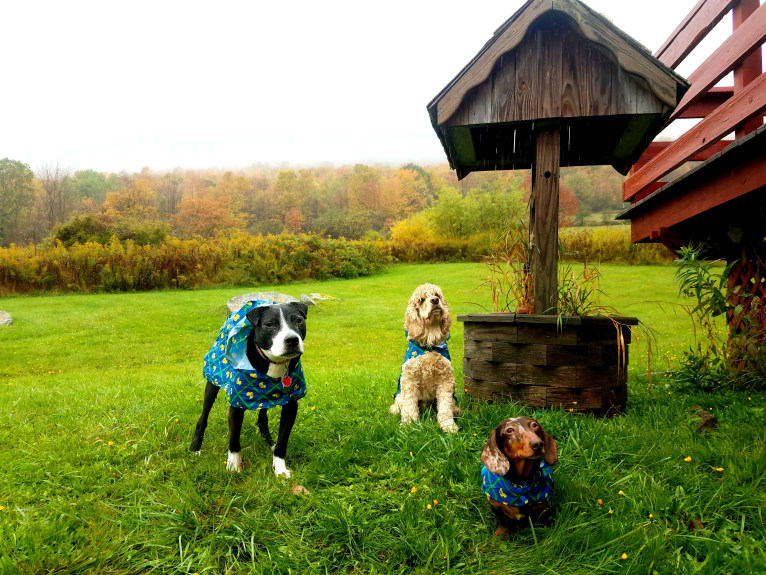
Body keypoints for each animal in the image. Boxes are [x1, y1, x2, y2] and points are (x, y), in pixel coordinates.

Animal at [191, 304, 308, 480]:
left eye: (299, 320)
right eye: (270, 324)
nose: (292, 339)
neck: (275, 364)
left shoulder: (291, 405)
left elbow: (282, 441)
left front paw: (280, 469)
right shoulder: (237, 403)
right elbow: (234, 438)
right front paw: (234, 467)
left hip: (266, 396)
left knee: (262, 418)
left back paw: (269, 442)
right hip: (212, 381)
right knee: (203, 417)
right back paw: (196, 448)